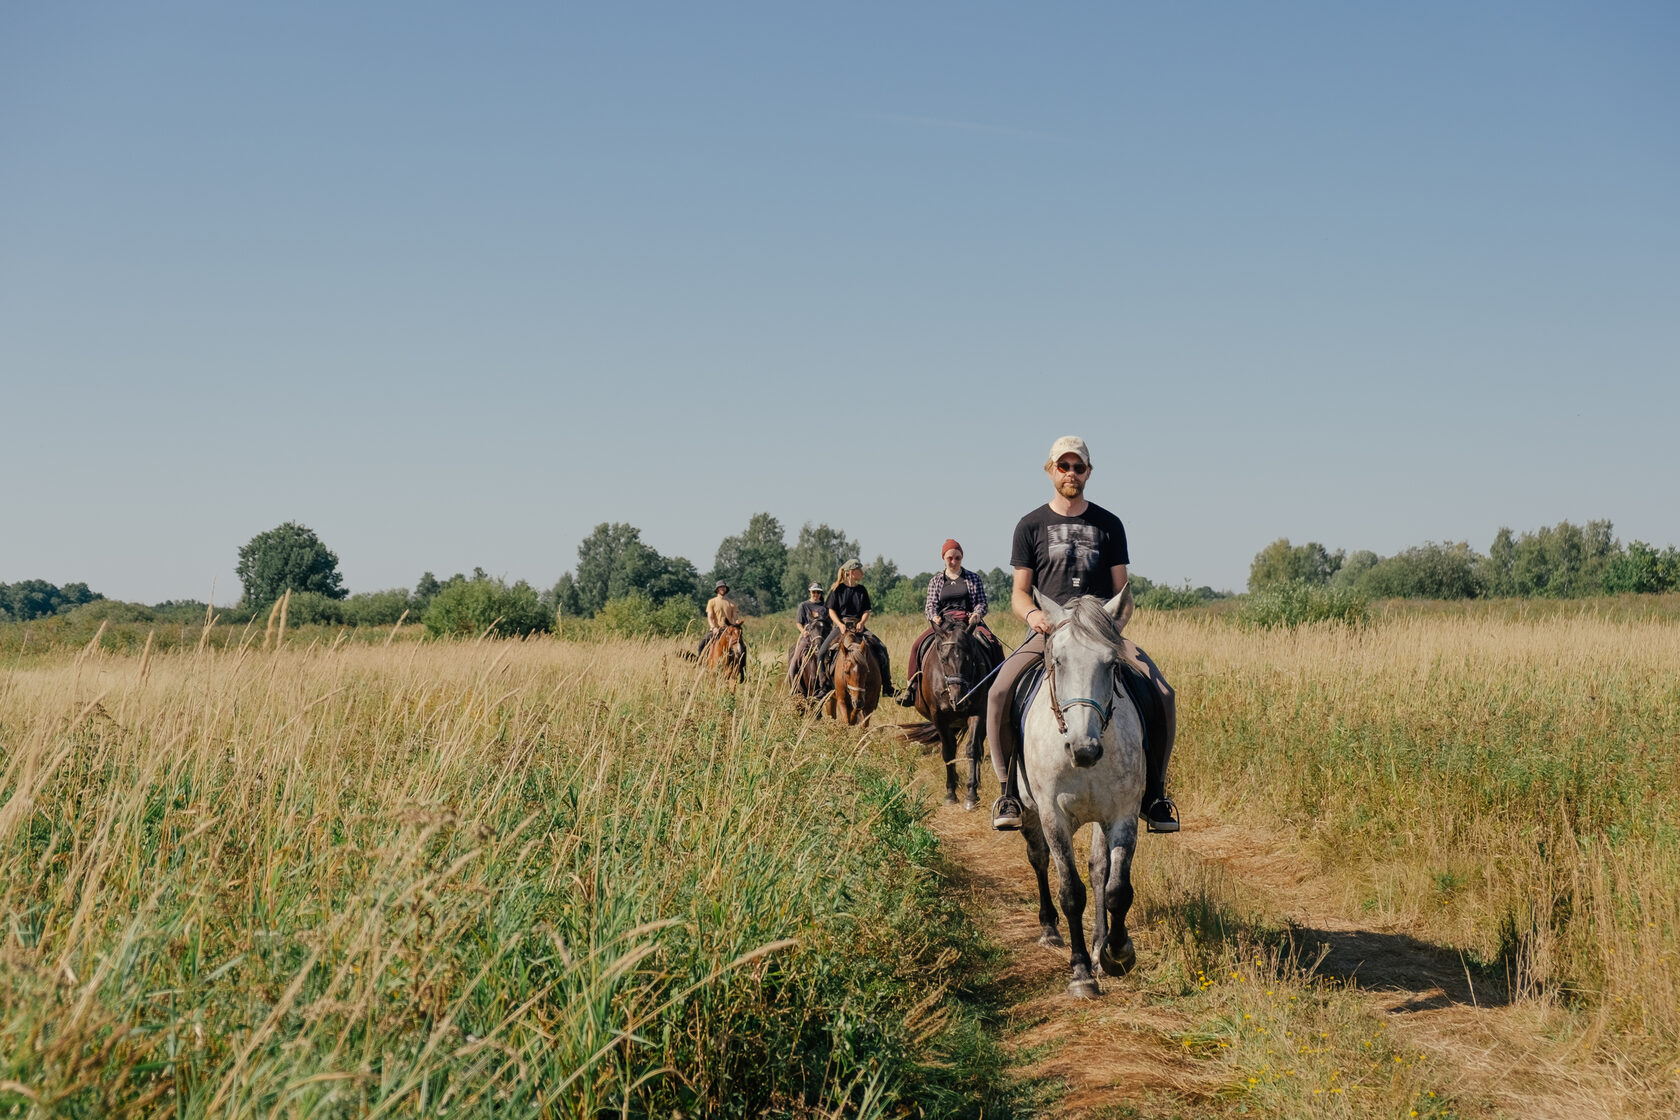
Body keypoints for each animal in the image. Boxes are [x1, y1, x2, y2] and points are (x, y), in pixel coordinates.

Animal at [907, 614, 994, 805]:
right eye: (943, 659)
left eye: (970, 658)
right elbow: (948, 751)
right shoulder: (939, 717)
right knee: (952, 746)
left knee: (977, 746)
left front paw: (971, 793)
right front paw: (950, 792)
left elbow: (972, 749)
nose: (958, 699)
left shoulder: (978, 713)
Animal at [1014, 587, 1149, 1000]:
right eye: (1057, 661)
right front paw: (1081, 974)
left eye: (1111, 663)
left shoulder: (1121, 813)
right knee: (1039, 859)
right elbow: (1072, 892)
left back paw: (1099, 946)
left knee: (1099, 871)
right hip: (1030, 812)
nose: (1084, 750)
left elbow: (1116, 887)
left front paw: (1116, 954)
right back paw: (1049, 930)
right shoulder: (1053, 816)